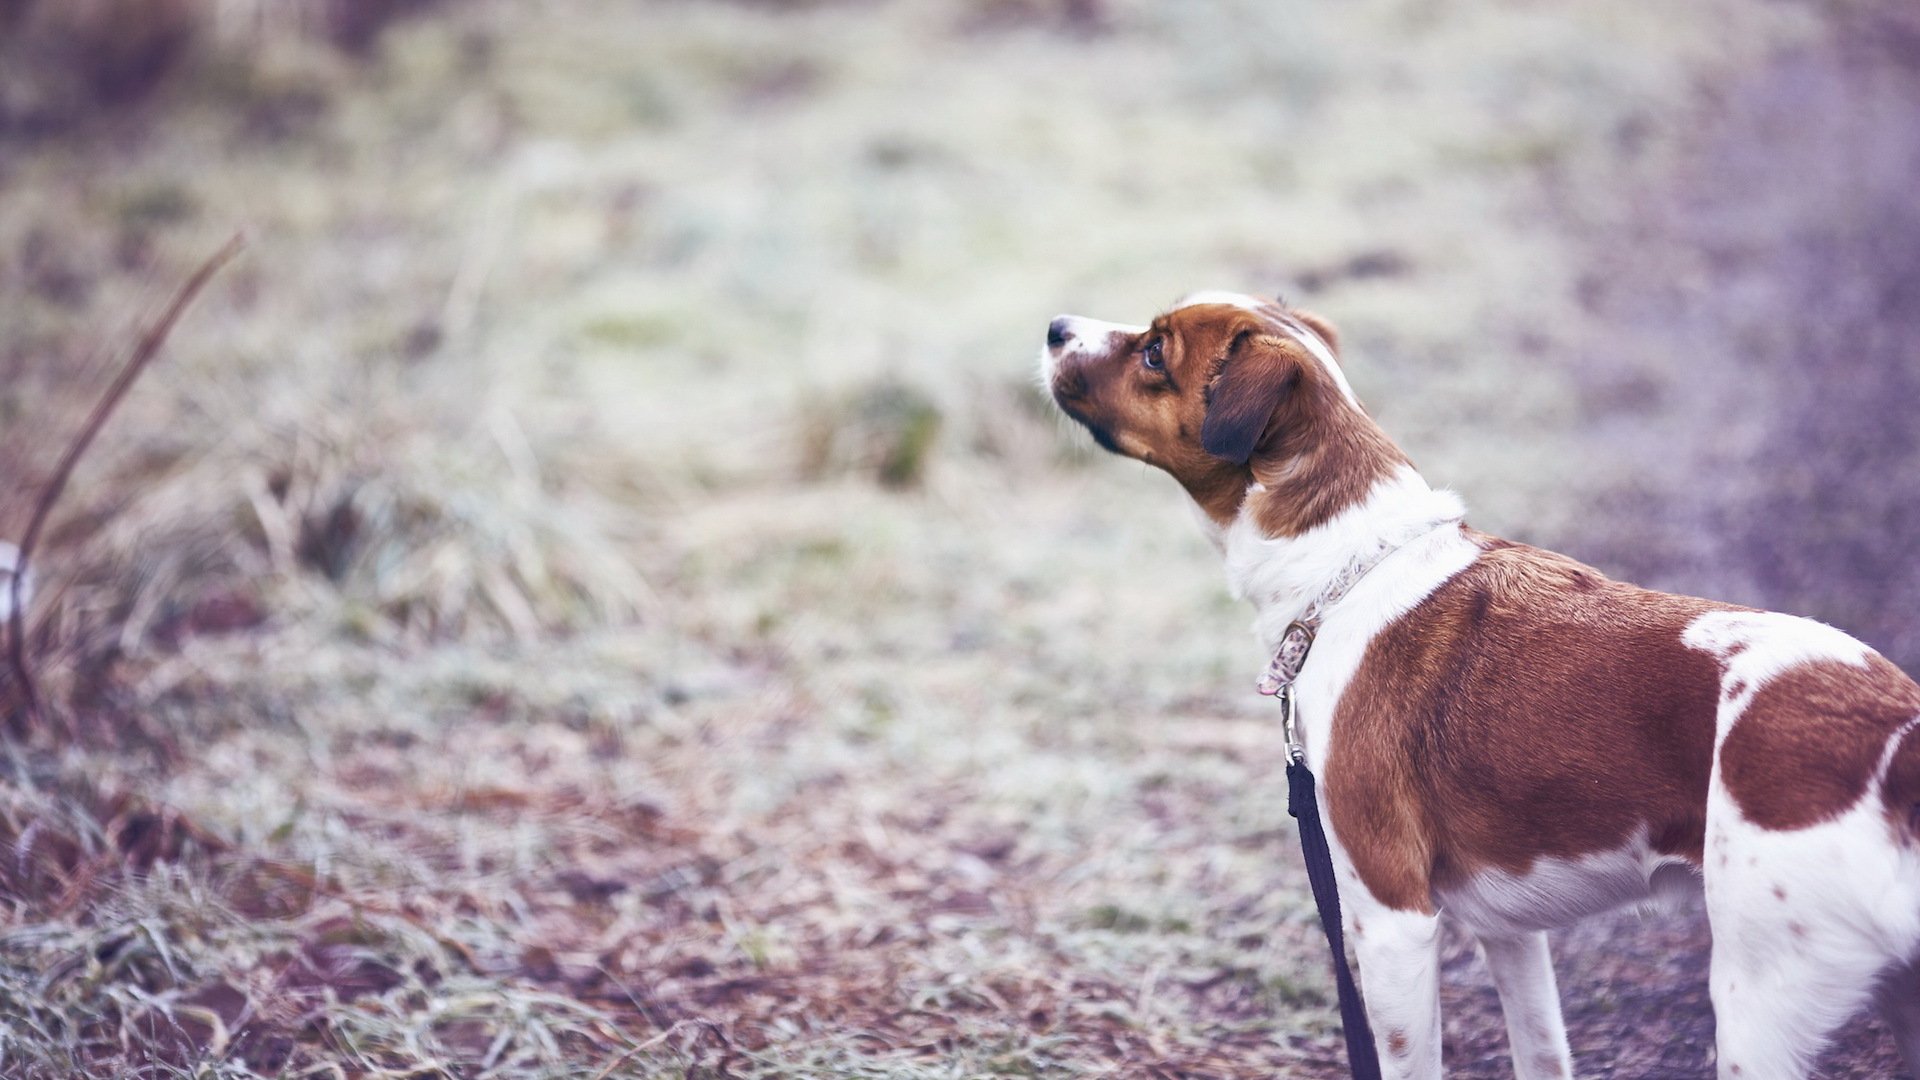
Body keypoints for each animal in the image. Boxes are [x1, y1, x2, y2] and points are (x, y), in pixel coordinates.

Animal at [1044, 290, 1920, 1068]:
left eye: (1154, 352)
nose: (1054, 325)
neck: (1348, 565)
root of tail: (1895, 733)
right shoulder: (1512, 930)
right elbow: (1543, 1053)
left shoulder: (1391, 922)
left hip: (1759, 998)